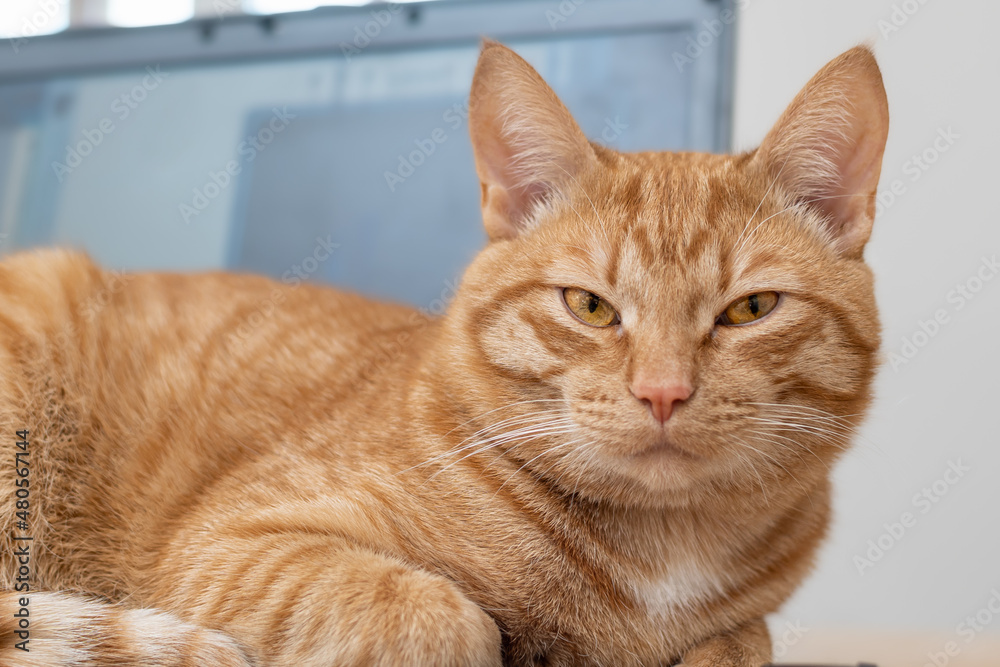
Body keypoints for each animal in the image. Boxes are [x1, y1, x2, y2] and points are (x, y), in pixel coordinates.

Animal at [3, 41, 888, 667]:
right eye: (590, 306)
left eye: (750, 309)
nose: (664, 392)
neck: (664, 551)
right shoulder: (227, 546)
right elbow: (443, 617)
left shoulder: (748, 622)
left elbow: (746, 641)